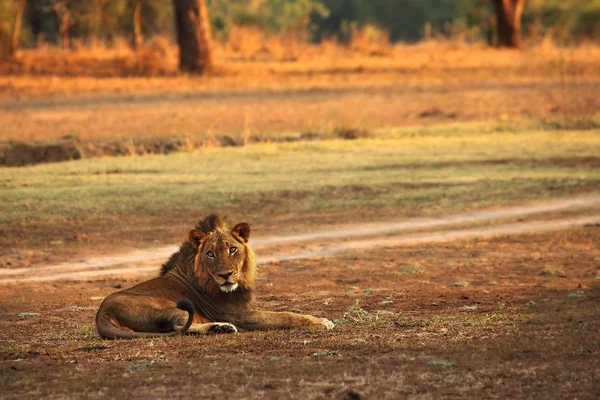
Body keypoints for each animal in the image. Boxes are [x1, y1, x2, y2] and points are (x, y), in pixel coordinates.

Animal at [96, 214, 336, 340]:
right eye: (210, 253)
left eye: (232, 249)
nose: (225, 275)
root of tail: (101, 315)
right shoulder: (239, 315)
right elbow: (285, 316)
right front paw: (320, 321)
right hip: (165, 306)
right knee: (178, 325)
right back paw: (221, 327)